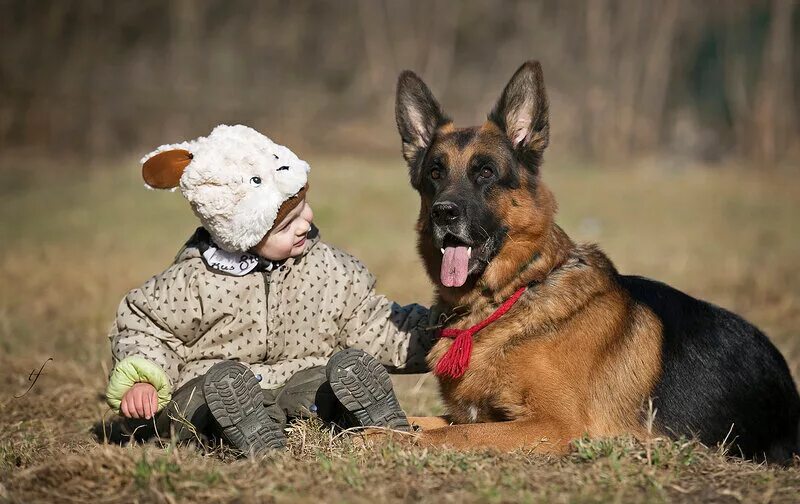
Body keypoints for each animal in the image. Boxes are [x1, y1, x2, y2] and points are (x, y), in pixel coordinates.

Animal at [396, 61, 800, 462]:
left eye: (485, 172)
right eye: (435, 173)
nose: (443, 213)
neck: (514, 293)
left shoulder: (555, 427)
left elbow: (447, 435)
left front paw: (384, 439)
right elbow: (422, 423)